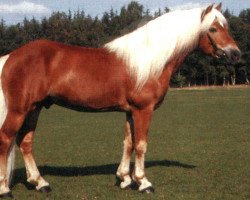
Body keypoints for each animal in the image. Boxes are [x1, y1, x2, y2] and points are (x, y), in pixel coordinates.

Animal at [0, 3, 240, 198]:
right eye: (213, 29)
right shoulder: (143, 110)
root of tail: (11, 56)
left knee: (25, 142)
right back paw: (5, 189)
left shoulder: (130, 111)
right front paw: (143, 182)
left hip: (35, 108)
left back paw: (41, 183)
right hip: (19, 110)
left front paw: (125, 179)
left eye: (225, 27)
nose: (236, 54)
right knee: (6, 139)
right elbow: (141, 145)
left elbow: (128, 143)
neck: (150, 60)